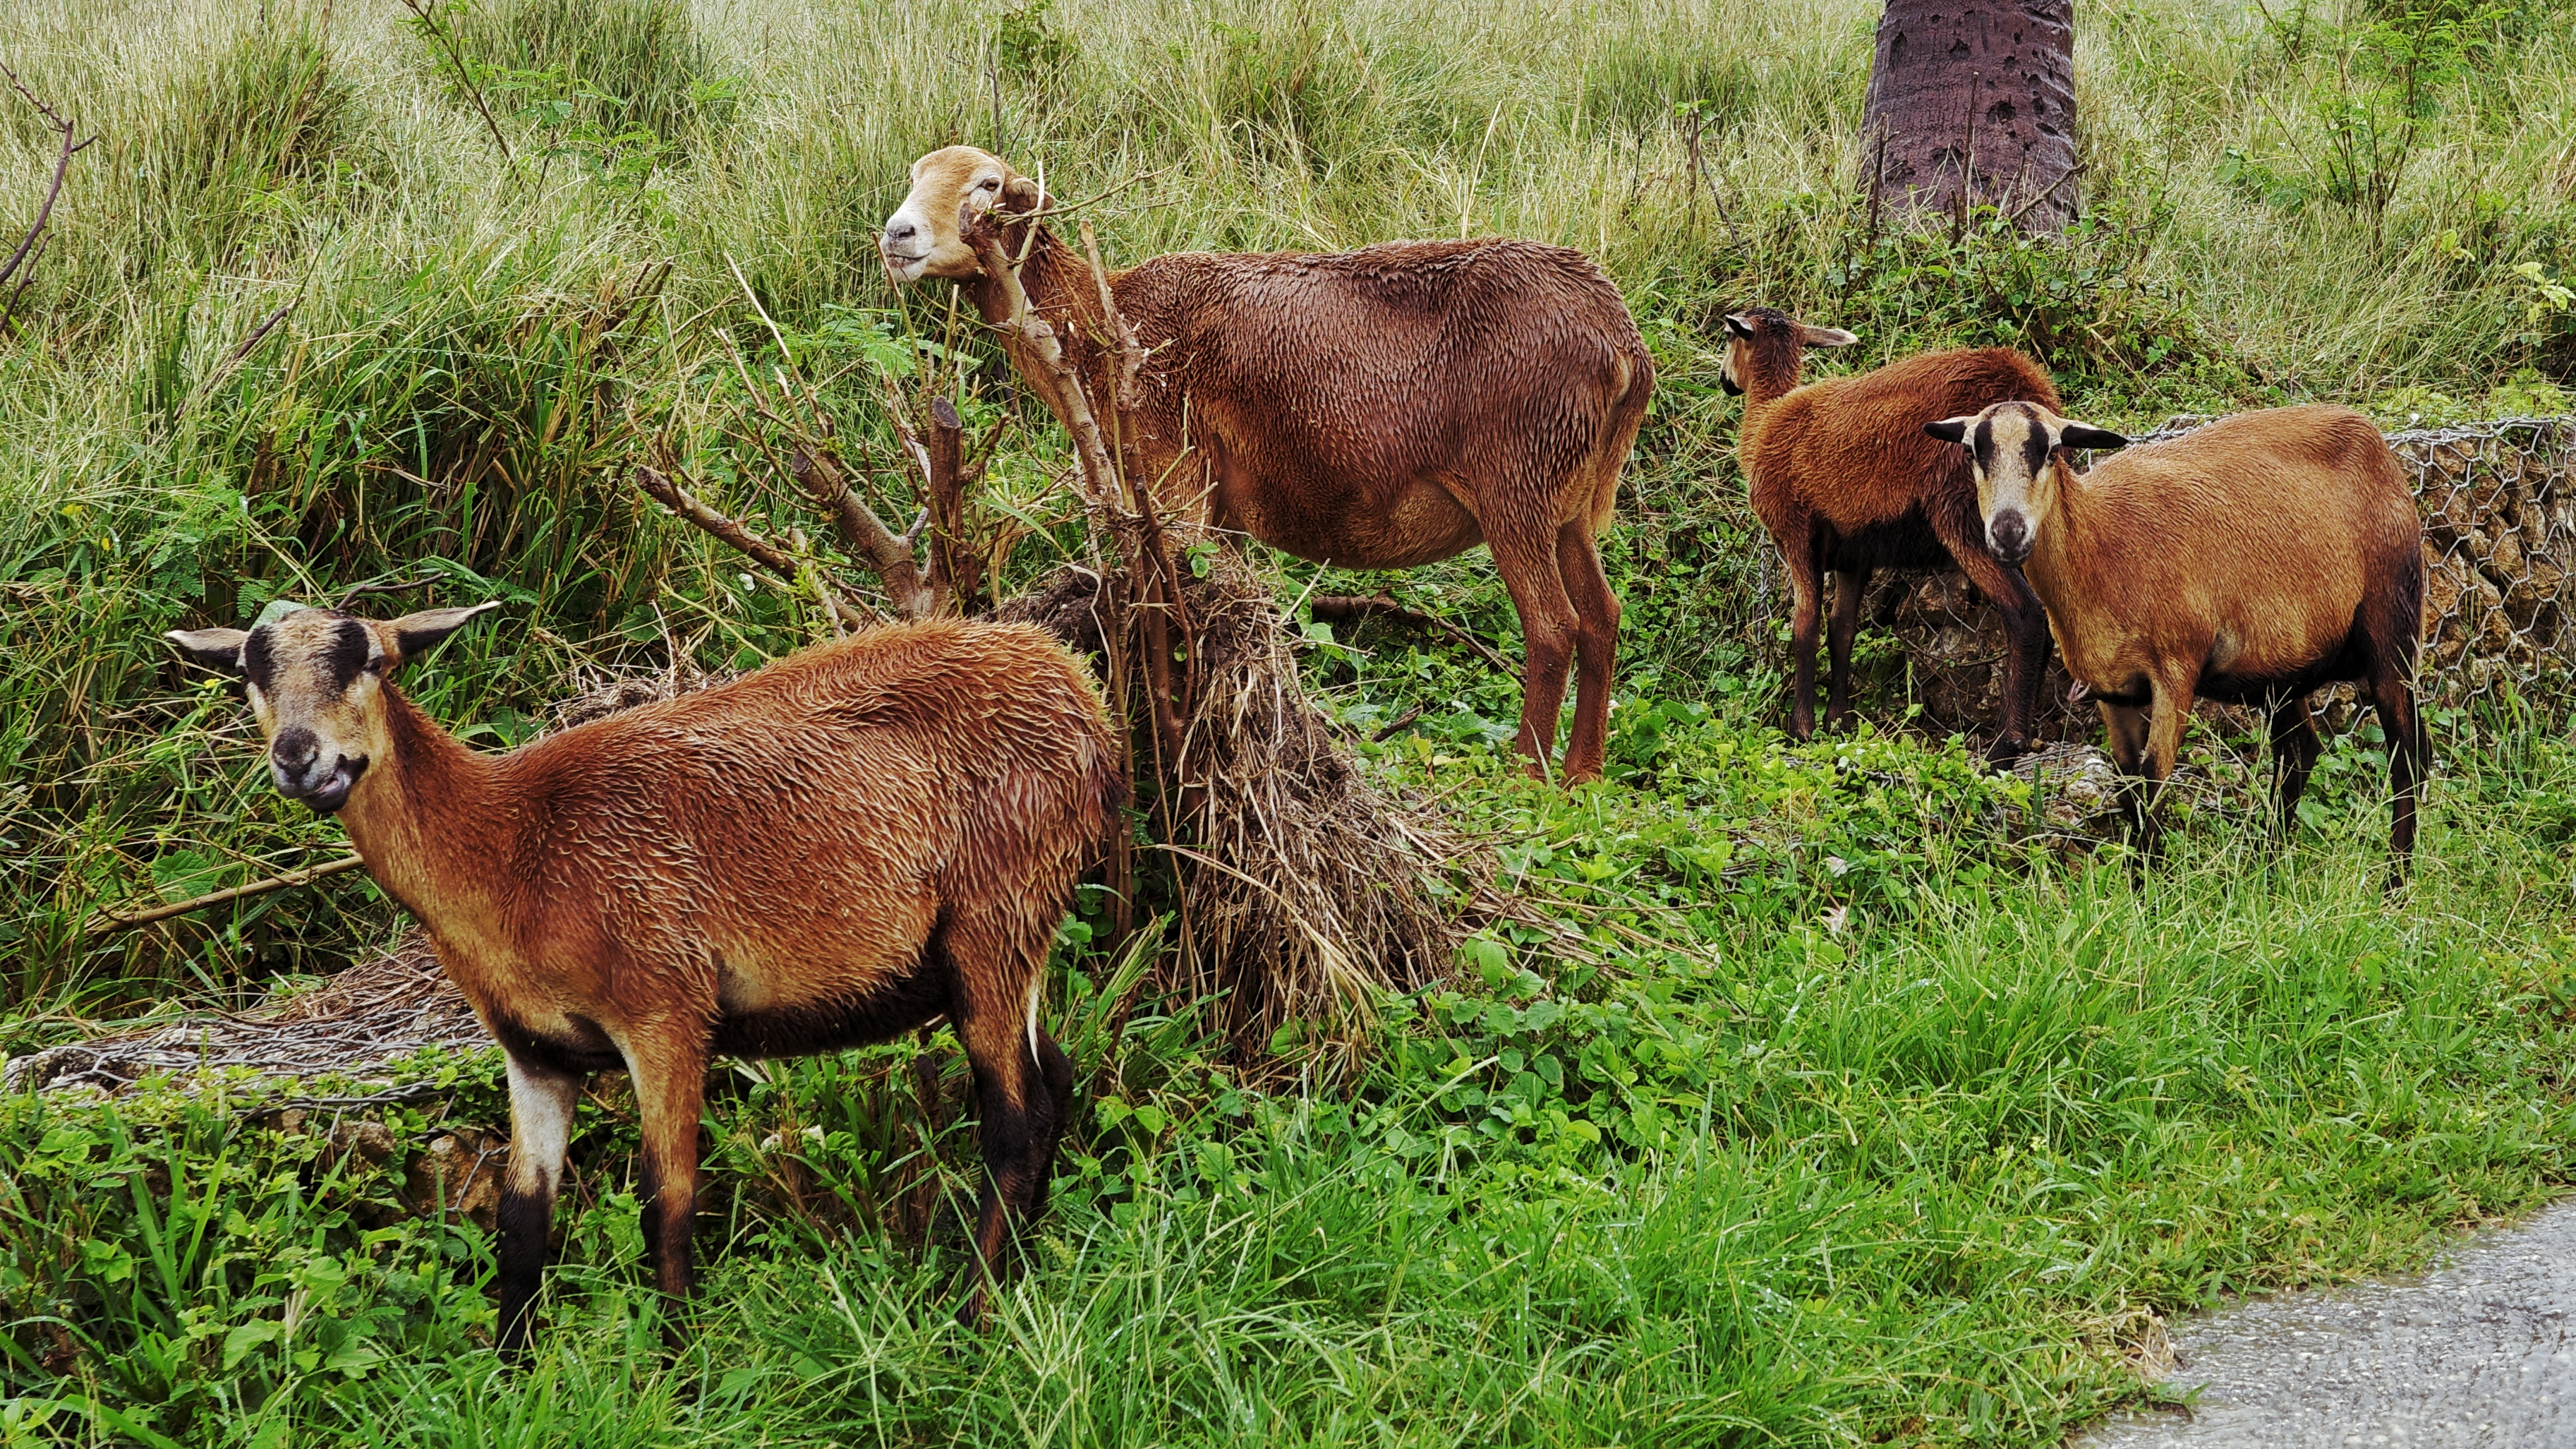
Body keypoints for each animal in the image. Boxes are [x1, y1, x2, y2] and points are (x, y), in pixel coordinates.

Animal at [165, 604, 1120, 1352]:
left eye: (368, 659)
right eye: (249, 671)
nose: (300, 755)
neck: (512, 848)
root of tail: (1080, 692)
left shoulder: (667, 1014)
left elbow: (668, 1203)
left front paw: (675, 1374)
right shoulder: (534, 1051)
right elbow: (521, 1222)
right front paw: (510, 1374)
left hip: (996, 912)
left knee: (1011, 1118)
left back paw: (975, 1317)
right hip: (1000, 946)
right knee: (1056, 1082)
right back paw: (1022, 1278)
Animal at [880, 146, 1655, 784]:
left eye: (987, 184)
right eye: (914, 175)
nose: (897, 234)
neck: (1103, 321)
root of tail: (1623, 341)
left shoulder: (1175, 475)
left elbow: (1175, 613)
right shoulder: (1221, 508)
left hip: (1516, 482)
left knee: (1552, 626)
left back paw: (1527, 777)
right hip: (1570, 499)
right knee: (1604, 616)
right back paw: (1584, 773)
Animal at [1721, 307, 2063, 759]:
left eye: (1728, 337)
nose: (1724, 380)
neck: (1766, 416)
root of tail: (2025, 382)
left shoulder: (1796, 535)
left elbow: (1805, 628)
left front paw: (1801, 730)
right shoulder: (1854, 554)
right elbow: (1842, 631)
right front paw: (1838, 723)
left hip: (1967, 512)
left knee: (2024, 614)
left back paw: (2007, 743)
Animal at [1924, 401, 2426, 884]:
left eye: (2052, 451)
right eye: (1971, 452)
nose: (2008, 534)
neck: (2099, 545)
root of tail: (2375, 440)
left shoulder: (2177, 669)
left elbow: (2154, 777)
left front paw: (2154, 889)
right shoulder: (2111, 689)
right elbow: (2129, 782)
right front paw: (2145, 881)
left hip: (2392, 627)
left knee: (2409, 756)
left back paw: (2395, 882)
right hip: (2281, 669)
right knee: (2299, 754)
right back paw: (2267, 869)